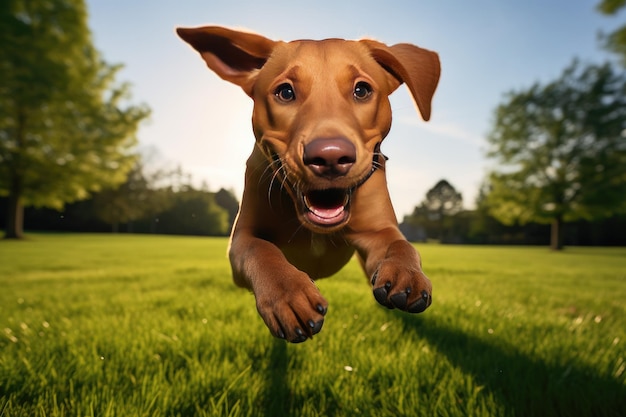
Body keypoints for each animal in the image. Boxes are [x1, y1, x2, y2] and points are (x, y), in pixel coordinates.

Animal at [177, 27, 438, 342]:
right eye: (286, 92)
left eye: (361, 90)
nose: (330, 156)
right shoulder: (240, 241)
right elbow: (260, 250)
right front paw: (288, 294)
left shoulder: (378, 231)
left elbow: (400, 244)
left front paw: (405, 273)